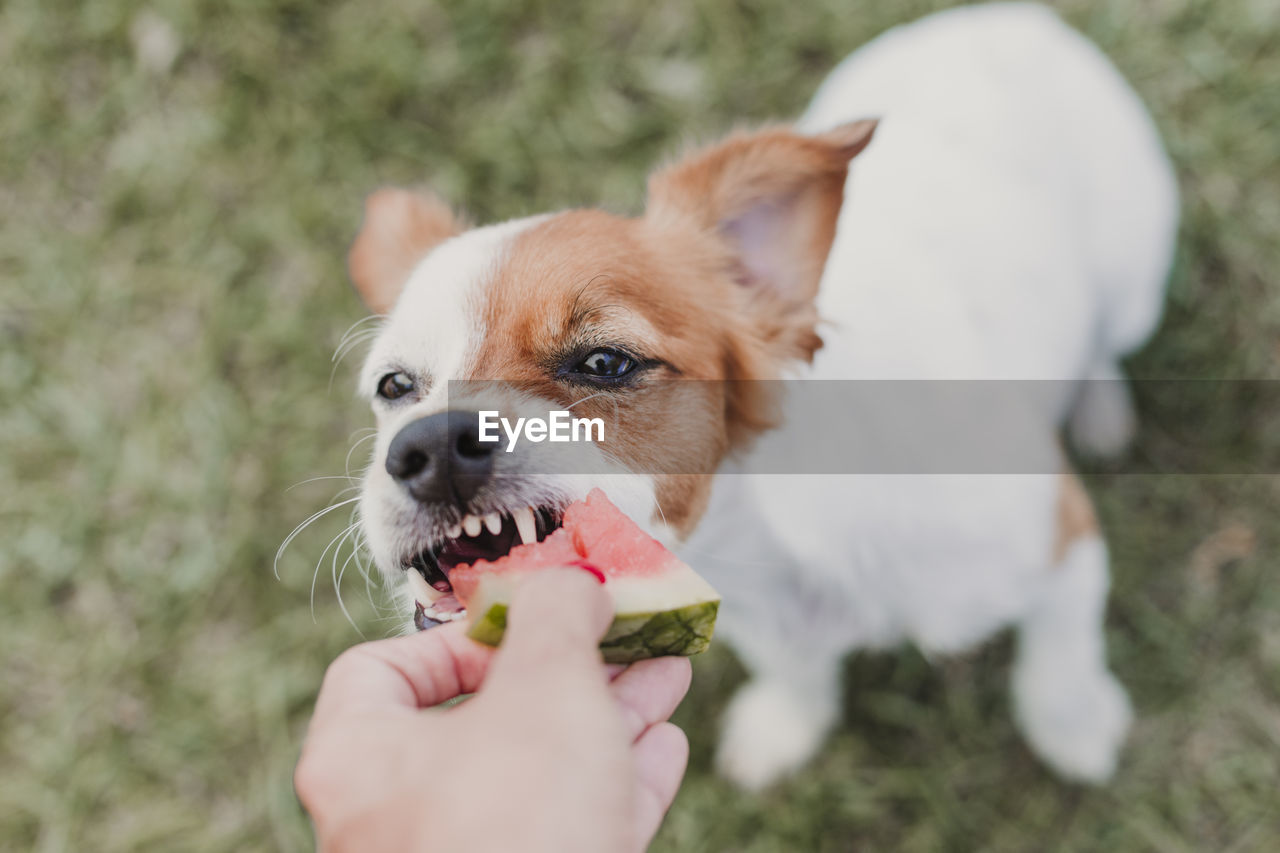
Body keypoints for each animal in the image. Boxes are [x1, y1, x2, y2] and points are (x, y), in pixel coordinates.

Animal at [345, 4, 1172, 788]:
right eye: (396, 386)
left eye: (605, 361)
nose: (428, 448)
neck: (766, 536)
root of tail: (1001, 19)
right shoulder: (761, 620)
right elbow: (796, 674)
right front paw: (786, 725)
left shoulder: (1062, 542)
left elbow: (1060, 655)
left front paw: (1075, 726)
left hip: (1135, 279)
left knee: (1107, 340)